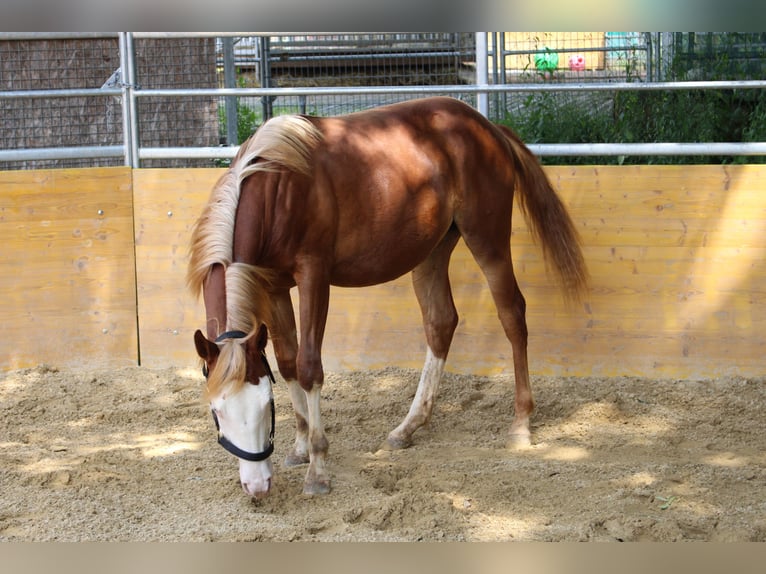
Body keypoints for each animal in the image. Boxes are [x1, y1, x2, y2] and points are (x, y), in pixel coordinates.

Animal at [188, 98, 588, 500]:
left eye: (265, 407)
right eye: (217, 411)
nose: (257, 486)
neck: (277, 183)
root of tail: (489, 128)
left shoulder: (314, 276)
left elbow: (308, 366)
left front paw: (318, 467)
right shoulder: (273, 286)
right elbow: (287, 363)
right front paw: (300, 447)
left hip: (487, 241)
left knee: (512, 315)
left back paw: (521, 422)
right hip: (432, 251)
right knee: (441, 322)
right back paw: (409, 426)